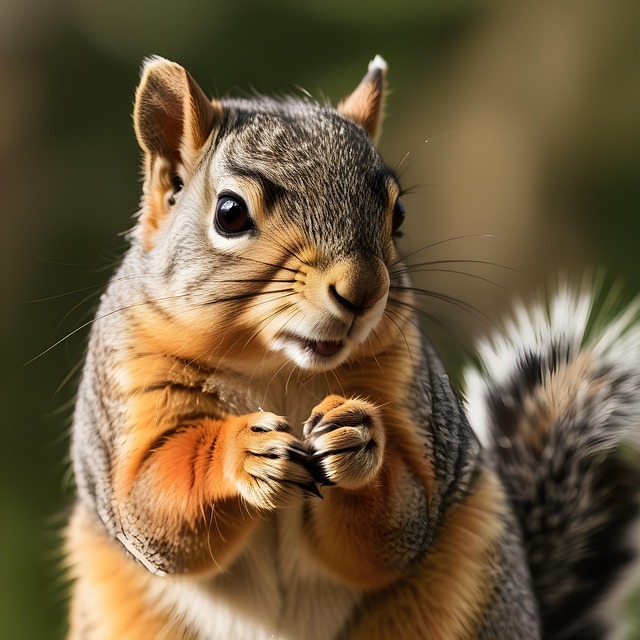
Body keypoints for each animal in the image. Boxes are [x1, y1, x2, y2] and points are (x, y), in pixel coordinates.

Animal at [65, 55, 640, 639]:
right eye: (229, 213)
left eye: (399, 213)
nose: (362, 290)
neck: (275, 368)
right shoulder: (127, 384)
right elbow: (150, 511)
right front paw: (244, 451)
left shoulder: (406, 386)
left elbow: (399, 524)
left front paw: (359, 438)